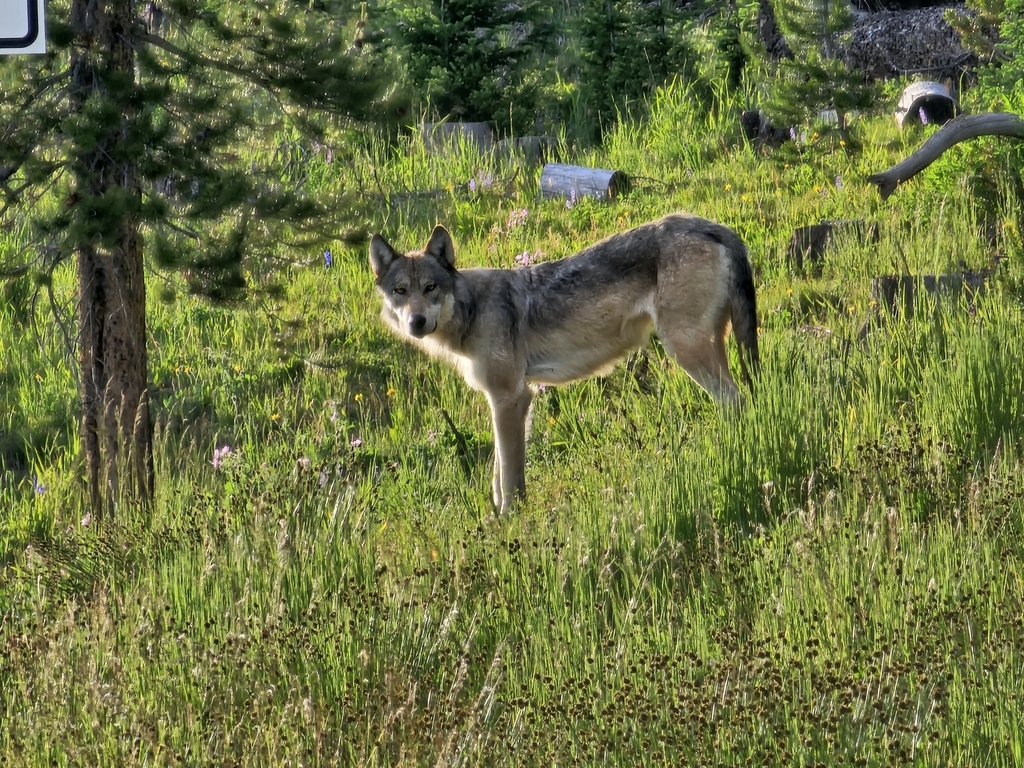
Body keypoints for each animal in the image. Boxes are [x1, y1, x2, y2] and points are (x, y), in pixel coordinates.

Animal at [369, 213, 759, 515]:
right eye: (401, 291)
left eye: (431, 288)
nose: (416, 322)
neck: (473, 310)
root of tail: (713, 226)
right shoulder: (514, 397)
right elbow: (499, 471)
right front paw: (497, 517)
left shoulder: (510, 397)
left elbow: (509, 474)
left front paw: (510, 519)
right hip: (711, 348)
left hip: (686, 350)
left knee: (736, 401)